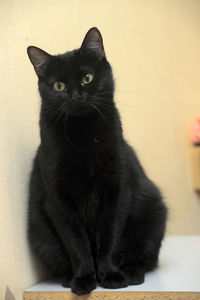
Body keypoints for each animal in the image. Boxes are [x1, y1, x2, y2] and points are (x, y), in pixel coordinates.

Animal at [26, 27, 167, 296]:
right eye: (58, 85)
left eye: (87, 78)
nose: (76, 96)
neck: (84, 137)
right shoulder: (59, 201)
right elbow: (76, 243)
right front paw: (83, 279)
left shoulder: (116, 191)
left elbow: (109, 236)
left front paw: (110, 275)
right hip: (40, 234)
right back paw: (68, 278)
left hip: (153, 211)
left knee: (146, 257)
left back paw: (132, 272)